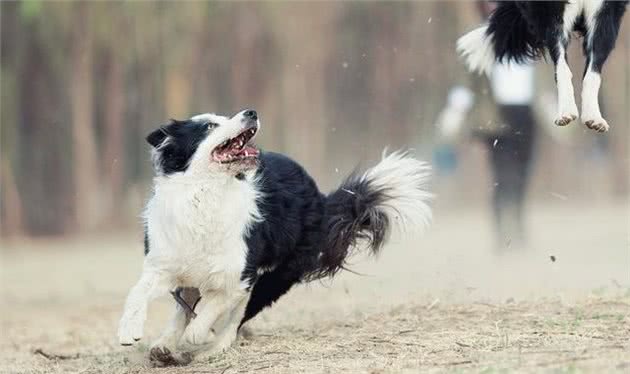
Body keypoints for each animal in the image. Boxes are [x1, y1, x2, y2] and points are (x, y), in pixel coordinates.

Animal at [118, 109, 434, 366]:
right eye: (208, 126)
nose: (251, 112)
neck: (206, 194)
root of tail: (320, 197)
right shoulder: (164, 261)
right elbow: (138, 293)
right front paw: (128, 330)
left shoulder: (240, 275)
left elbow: (214, 308)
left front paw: (199, 337)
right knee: (185, 307)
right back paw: (164, 346)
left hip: (277, 275)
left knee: (237, 315)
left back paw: (213, 347)